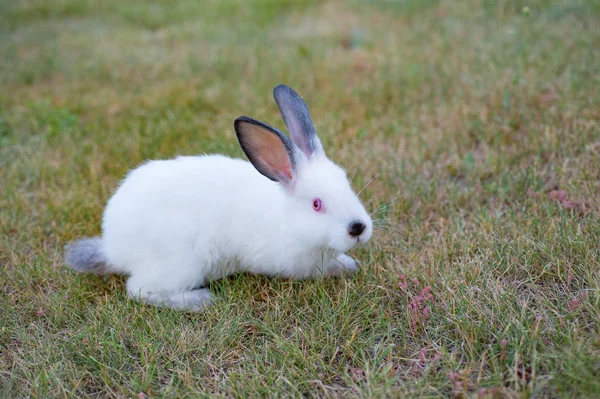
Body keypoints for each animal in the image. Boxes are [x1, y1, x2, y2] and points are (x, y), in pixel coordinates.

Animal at [68, 85, 372, 312]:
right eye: (316, 204)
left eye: (346, 182)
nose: (358, 228)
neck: (288, 218)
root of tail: (112, 247)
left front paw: (348, 265)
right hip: (182, 262)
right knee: (139, 290)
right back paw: (199, 301)